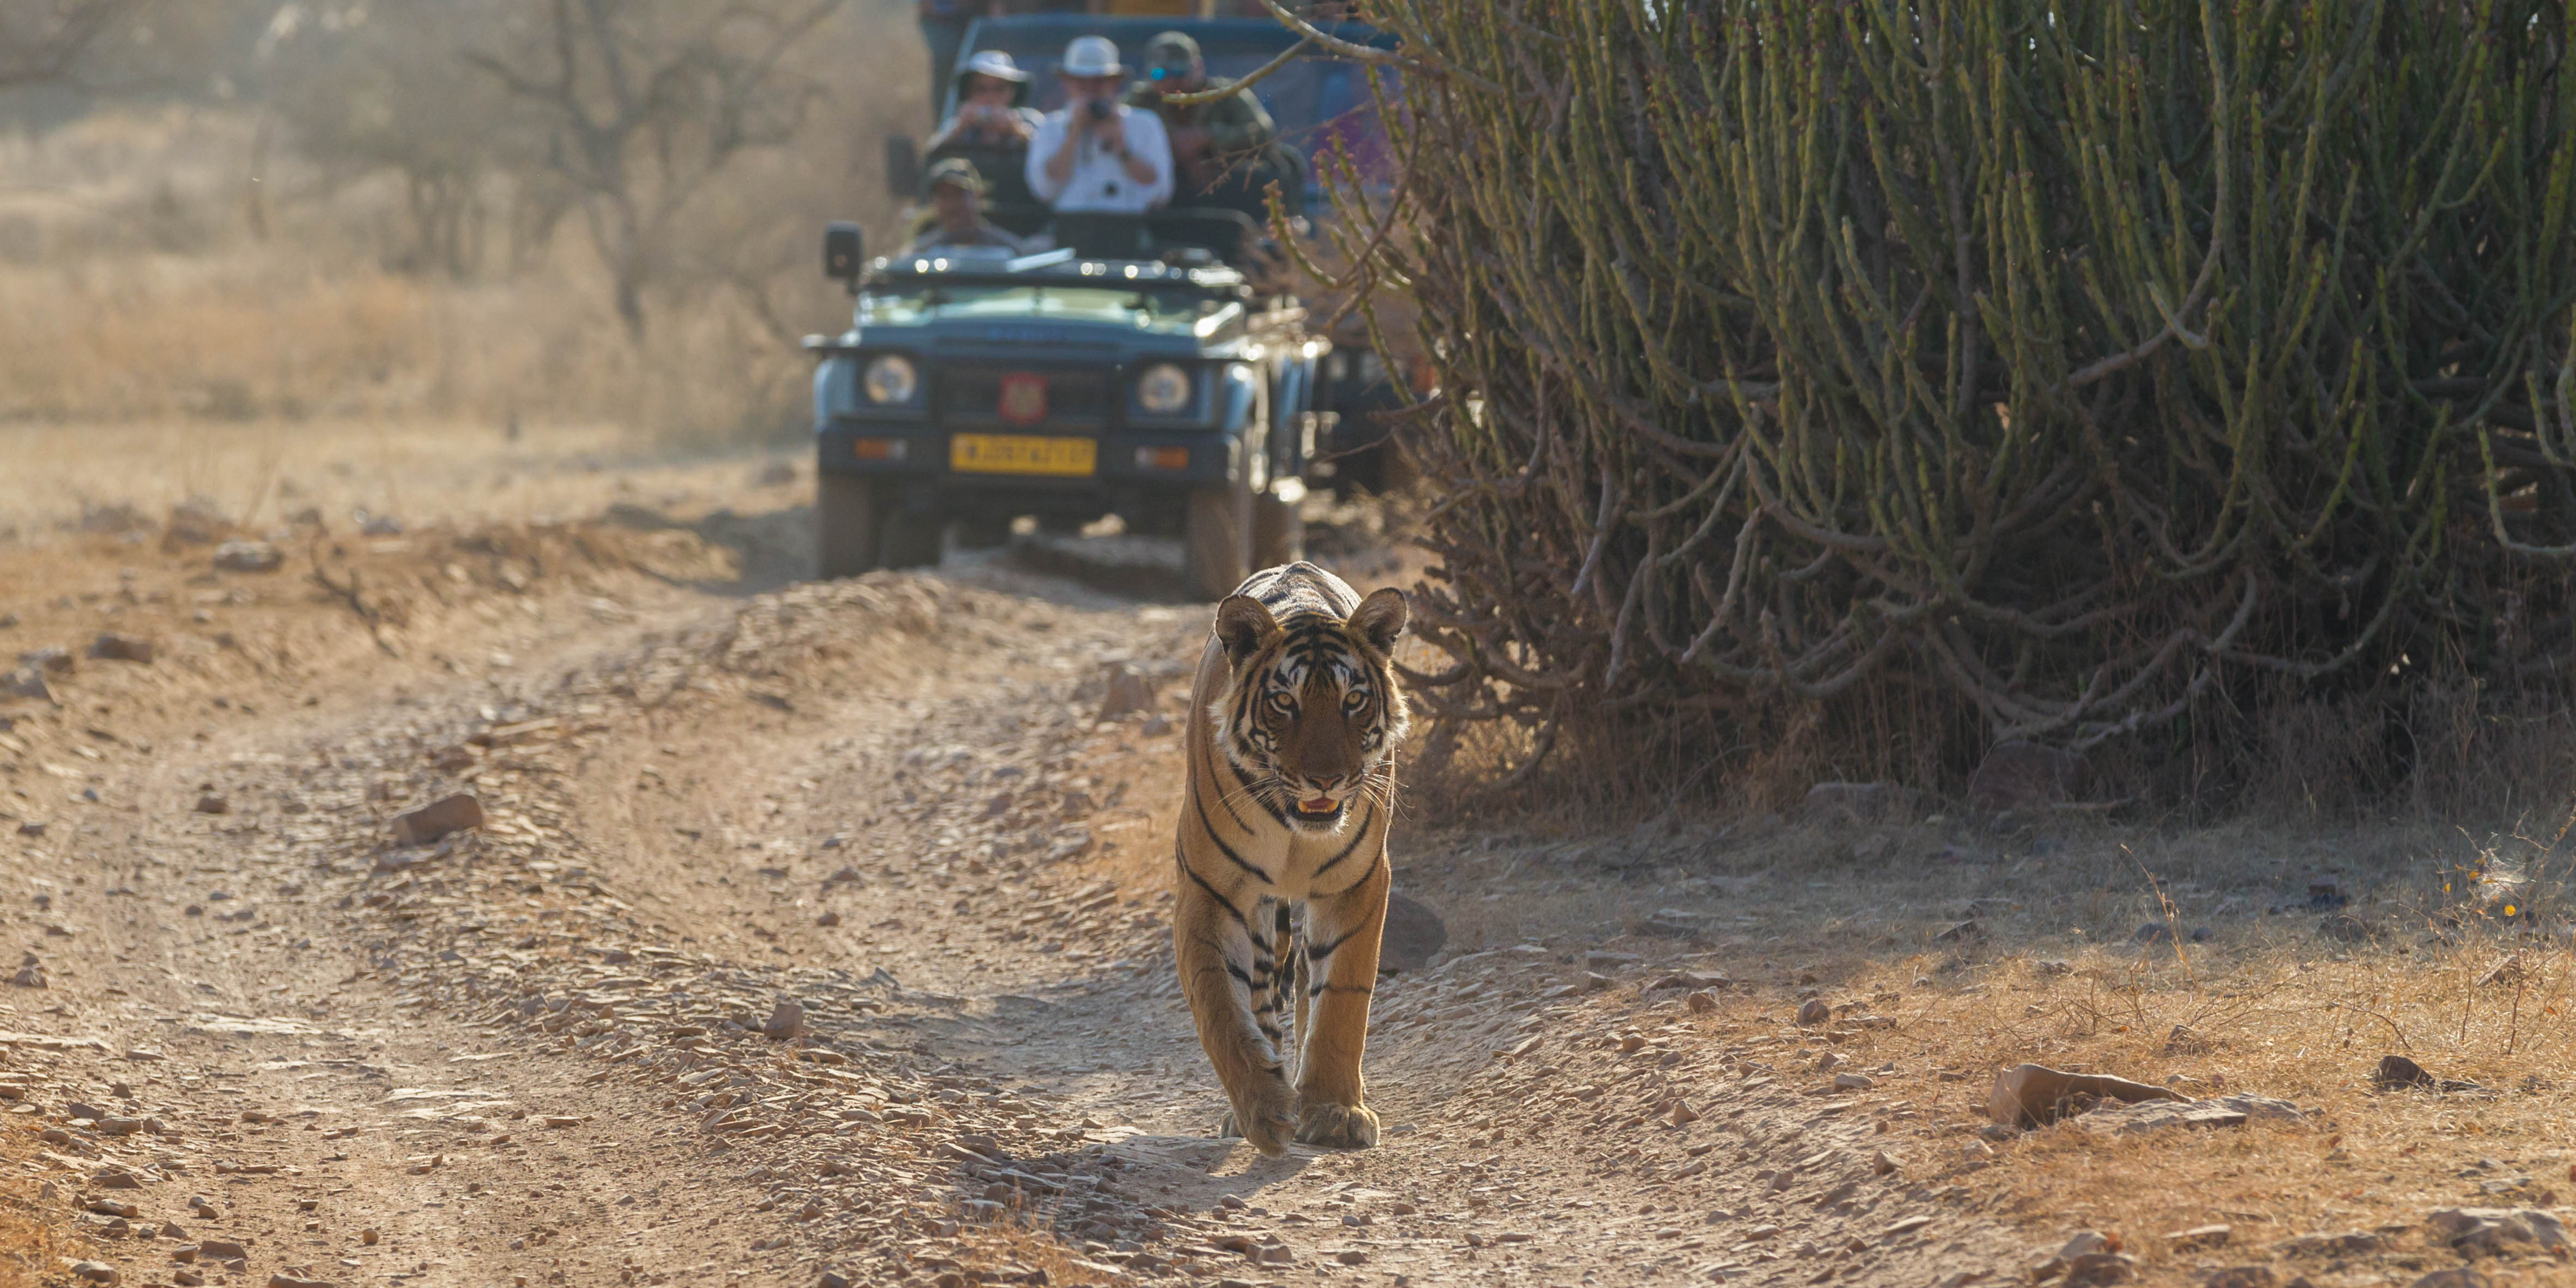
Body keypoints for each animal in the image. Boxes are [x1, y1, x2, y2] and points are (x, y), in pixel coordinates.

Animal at [1180, 564, 1422, 1159]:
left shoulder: (1358, 883)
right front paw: (1263, 1110)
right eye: (1284, 703)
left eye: (1353, 700)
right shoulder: (1209, 891)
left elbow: (1341, 1003)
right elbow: (1221, 1007)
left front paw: (1335, 1112)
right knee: (1262, 998)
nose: (1326, 780)